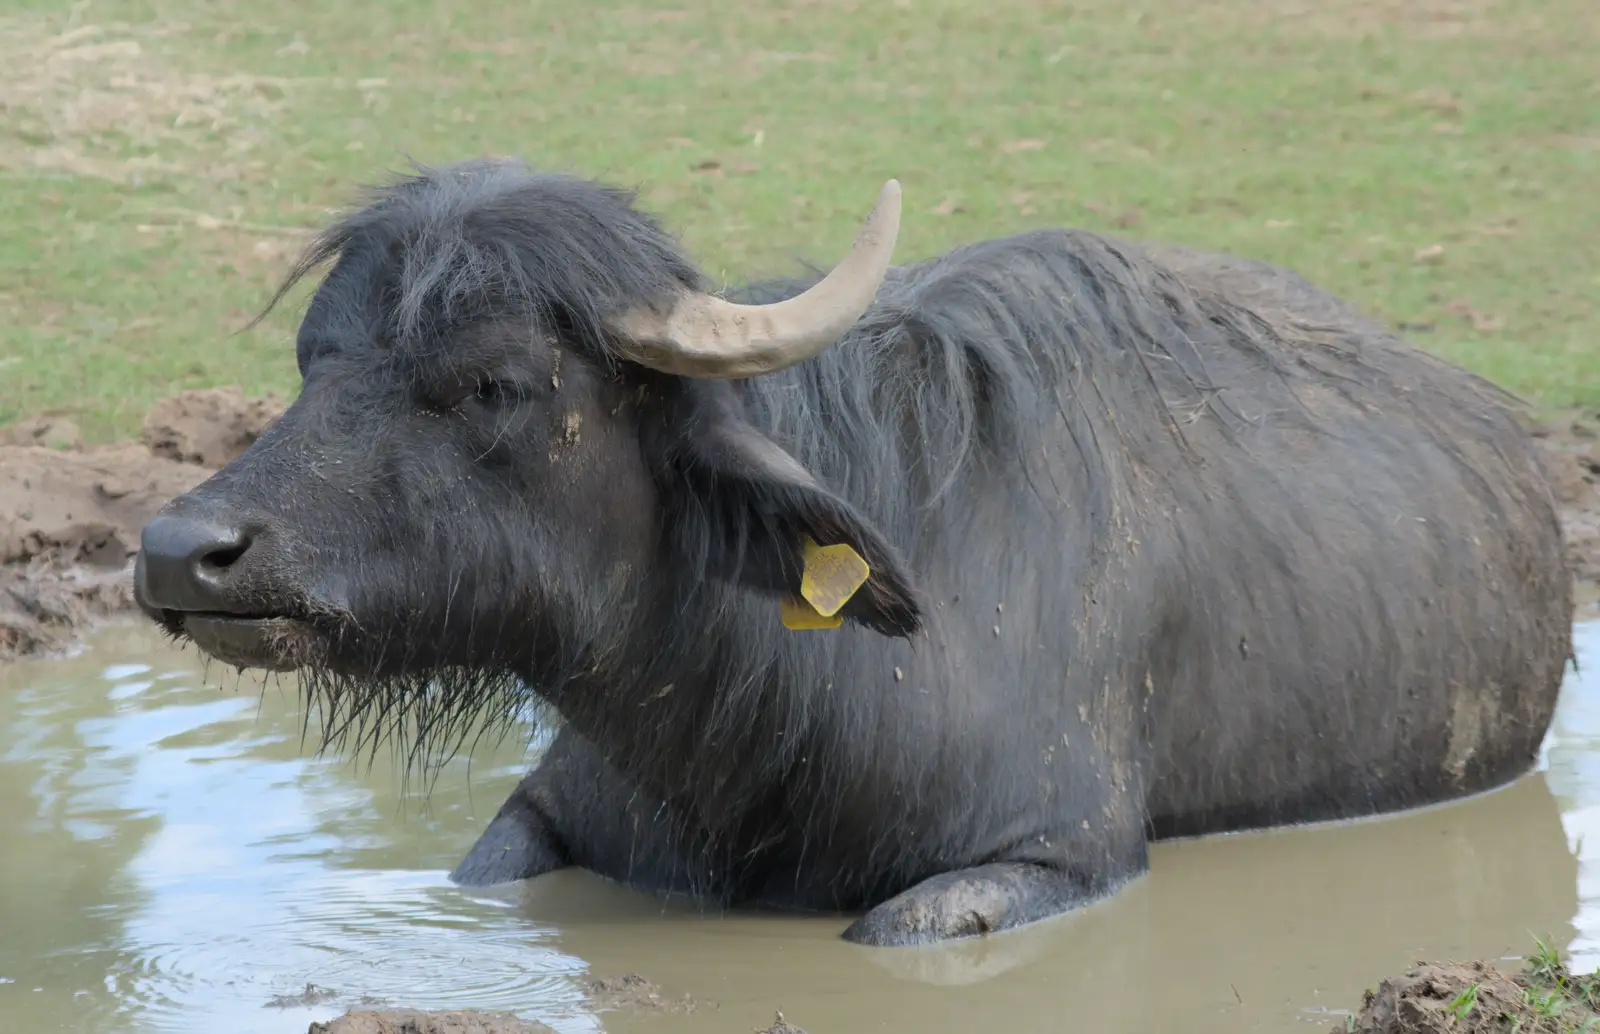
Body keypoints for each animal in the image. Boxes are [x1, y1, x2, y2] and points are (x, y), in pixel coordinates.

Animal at [128, 160, 1574, 947]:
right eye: (315, 360)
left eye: (492, 382)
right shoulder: (542, 813)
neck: (747, 731)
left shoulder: (1054, 857)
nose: (180, 548)